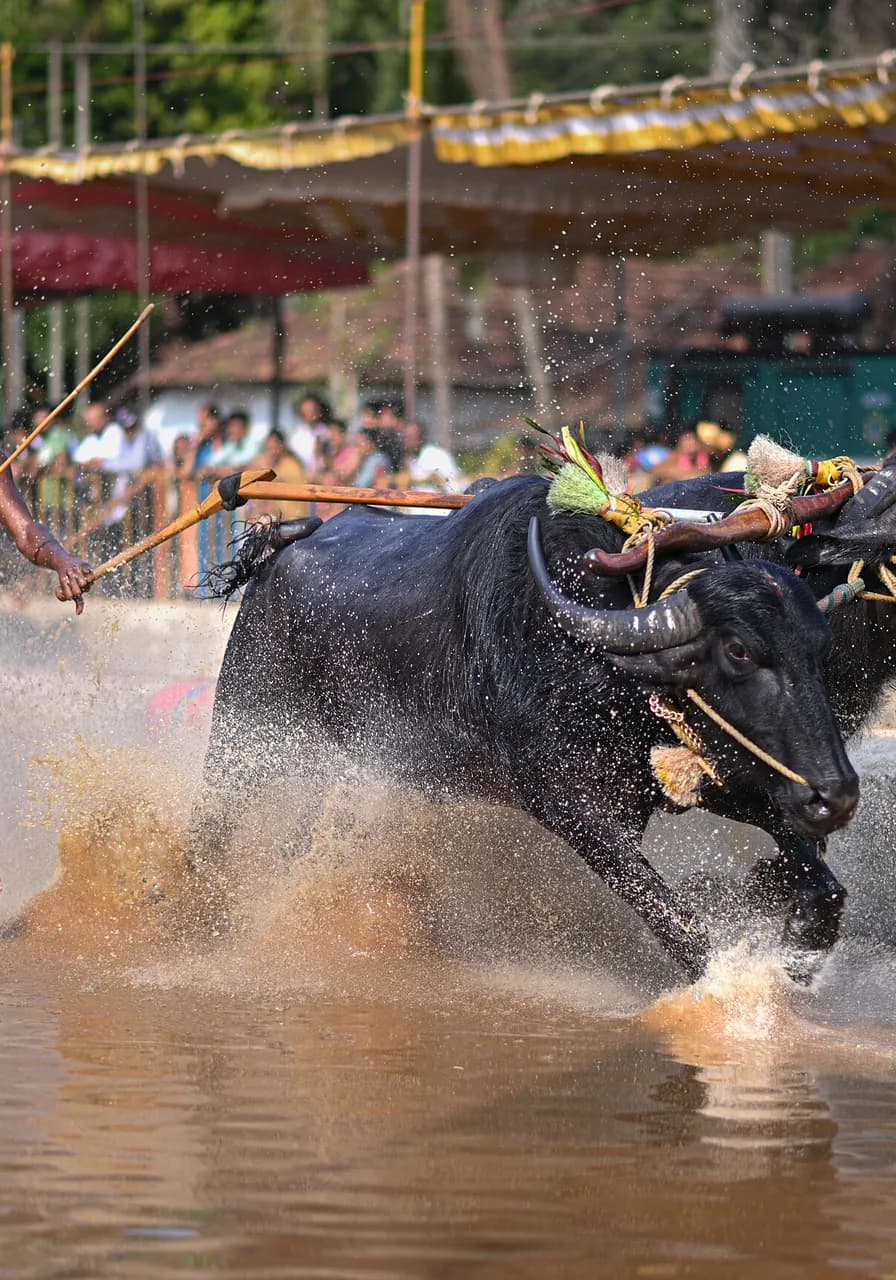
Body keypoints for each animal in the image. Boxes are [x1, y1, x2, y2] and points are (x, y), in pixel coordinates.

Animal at [190, 476, 859, 981]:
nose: (837, 795)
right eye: (739, 651)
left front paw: (798, 942)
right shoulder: (569, 804)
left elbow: (820, 888)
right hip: (246, 733)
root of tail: (280, 550)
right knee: (213, 828)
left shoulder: (717, 769)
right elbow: (679, 923)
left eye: (819, 647)